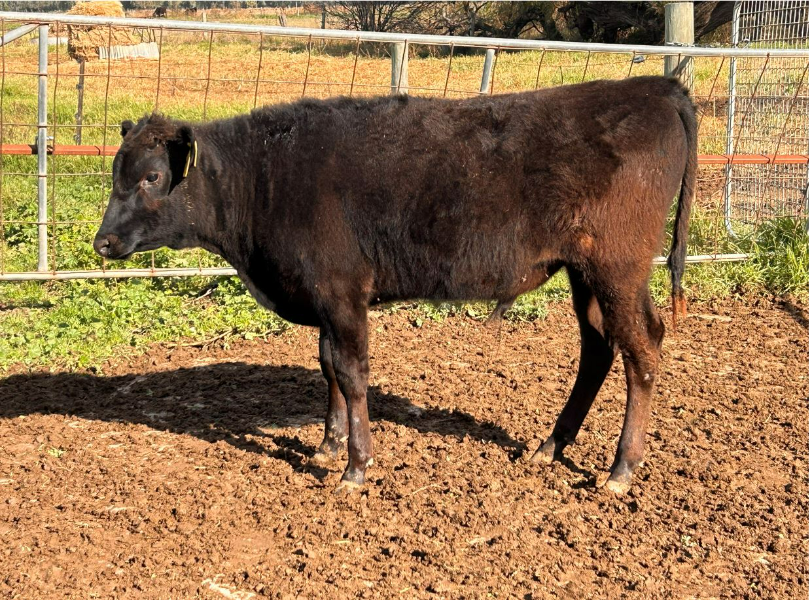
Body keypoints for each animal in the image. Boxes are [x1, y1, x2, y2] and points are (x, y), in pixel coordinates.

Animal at [93, 76, 695, 495]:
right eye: (117, 172)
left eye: (151, 176)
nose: (102, 242)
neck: (265, 177)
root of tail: (655, 87)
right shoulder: (327, 301)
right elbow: (328, 366)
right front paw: (327, 446)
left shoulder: (343, 293)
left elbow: (353, 374)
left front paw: (356, 467)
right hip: (584, 271)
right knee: (598, 347)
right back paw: (550, 445)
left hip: (618, 266)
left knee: (642, 349)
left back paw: (620, 469)